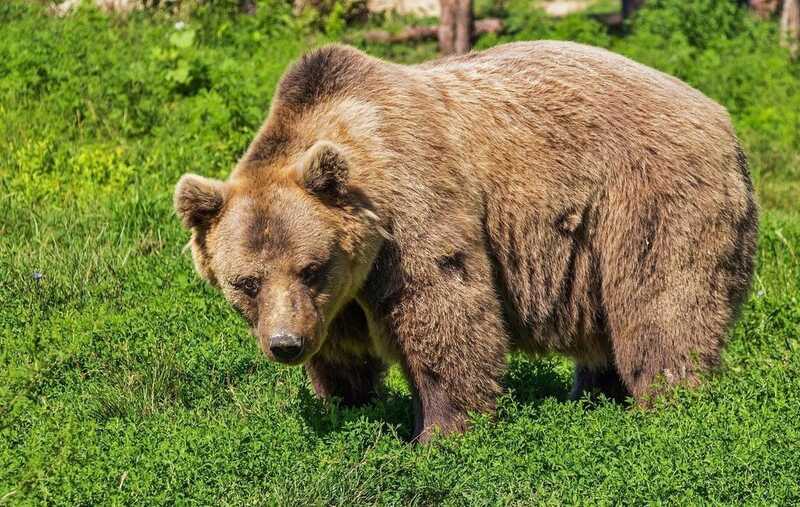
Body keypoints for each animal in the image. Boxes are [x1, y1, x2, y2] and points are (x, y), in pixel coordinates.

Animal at [173, 41, 756, 442]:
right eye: (246, 282)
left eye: (310, 267)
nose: (285, 344)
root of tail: (722, 117)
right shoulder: (338, 297)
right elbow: (342, 353)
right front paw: (348, 406)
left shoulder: (413, 211)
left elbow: (444, 311)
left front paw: (440, 433)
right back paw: (594, 396)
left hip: (650, 198)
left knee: (661, 304)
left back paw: (669, 404)